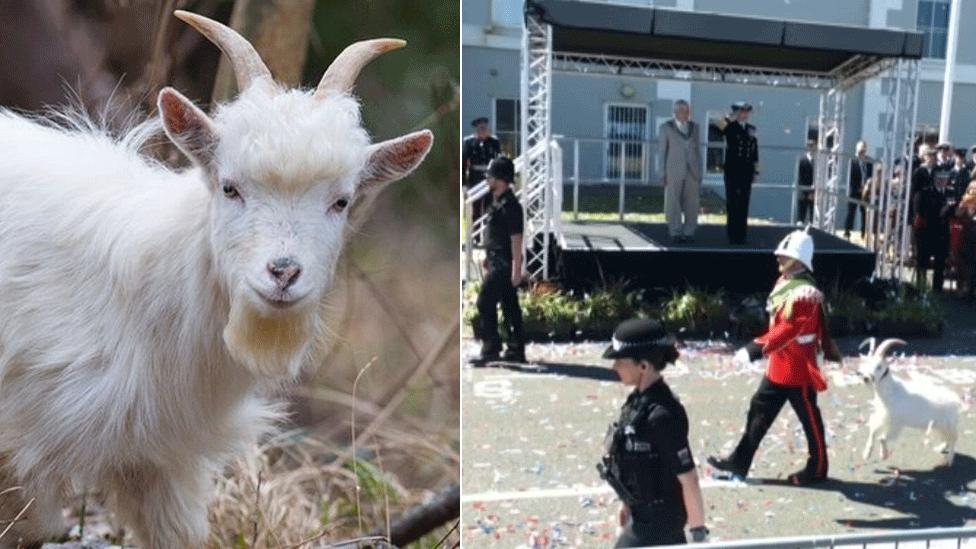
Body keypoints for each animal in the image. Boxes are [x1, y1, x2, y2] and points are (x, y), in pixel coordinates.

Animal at [856, 338, 956, 466]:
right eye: (866, 364)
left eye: (879, 366)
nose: (866, 378)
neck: (891, 392)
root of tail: (955, 399)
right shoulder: (882, 418)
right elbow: (873, 432)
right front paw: (866, 454)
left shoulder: (896, 424)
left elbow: (882, 438)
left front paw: (883, 455)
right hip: (938, 426)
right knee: (946, 439)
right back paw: (940, 448)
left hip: (949, 424)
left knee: (953, 439)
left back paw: (949, 461)